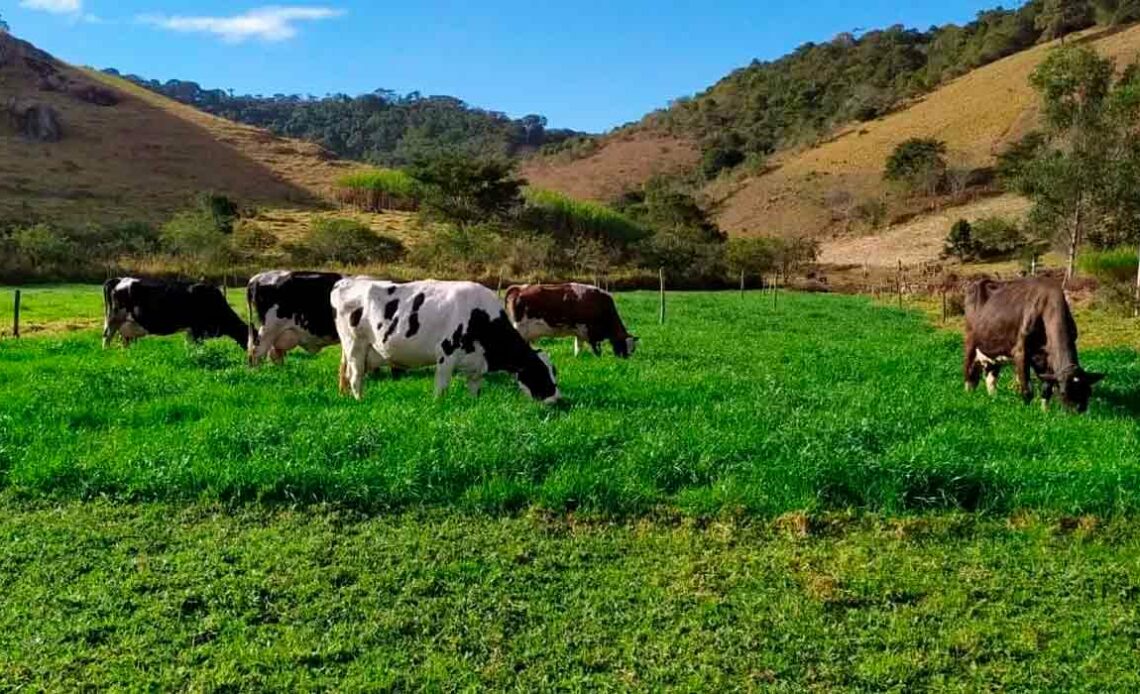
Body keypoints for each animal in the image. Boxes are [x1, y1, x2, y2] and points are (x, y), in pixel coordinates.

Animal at [100, 275, 249, 348]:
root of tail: (119, 279)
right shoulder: (197, 329)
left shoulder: (191, 331)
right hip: (114, 318)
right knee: (106, 337)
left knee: (123, 341)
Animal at [330, 275, 560, 403]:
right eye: (539, 371)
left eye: (554, 371)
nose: (557, 399)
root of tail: (345, 282)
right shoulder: (446, 355)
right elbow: (441, 389)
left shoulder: (476, 365)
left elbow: (475, 391)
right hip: (355, 346)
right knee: (355, 377)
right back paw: (360, 401)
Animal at [503, 281, 638, 357]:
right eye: (623, 345)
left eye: (633, 350)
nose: (625, 360)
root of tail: (520, 288)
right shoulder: (591, 332)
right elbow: (596, 350)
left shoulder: (580, 332)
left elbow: (578, 348)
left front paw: (577, 358)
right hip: (520, 329)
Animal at [962, 275, 1103, 410]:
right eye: (1063, 392)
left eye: (1088, 392)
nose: (1079, 411)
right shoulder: (1020, 352)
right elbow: (1027, 389)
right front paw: (1027, 411)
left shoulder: (1047, 358)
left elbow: (1047, 388)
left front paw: (1045, 411)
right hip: (970, 344)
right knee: (969, 374)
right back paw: (969, 396)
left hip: (992, 350)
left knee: (990, 377)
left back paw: (993, 399)